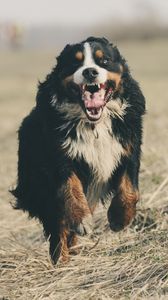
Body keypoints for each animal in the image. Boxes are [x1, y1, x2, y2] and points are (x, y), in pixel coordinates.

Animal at [11, 37, 146, 262]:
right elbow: (70, 189)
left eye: (104, 60)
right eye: (75, 63)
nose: (90, 72)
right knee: (58, 226)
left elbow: (130, 189)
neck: (94, 125)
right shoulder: (59, 158)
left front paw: (119, 218)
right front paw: (82, 220)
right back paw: (62, 260)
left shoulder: (128, 148)